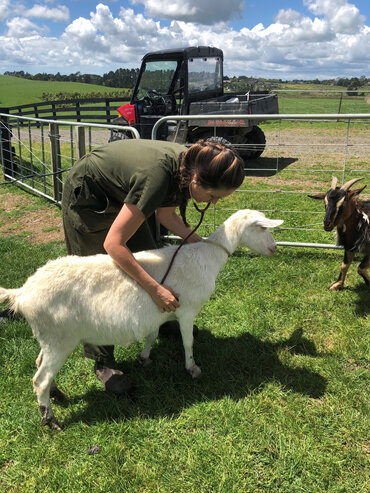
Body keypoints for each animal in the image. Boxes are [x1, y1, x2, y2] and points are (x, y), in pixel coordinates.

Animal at [0, 209, 284, 428]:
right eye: (262, 228)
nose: (274, 249)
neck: (206, 257)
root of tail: (23, 292)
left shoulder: (158, 310)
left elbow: (153, 334)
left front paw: (144, 357)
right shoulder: (186, 310)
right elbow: (188, 342)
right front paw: (192, 369)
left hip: (48, 336)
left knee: (39, 365)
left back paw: (57, 395)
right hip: (60, 338)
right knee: (39, 379)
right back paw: (51, 420)